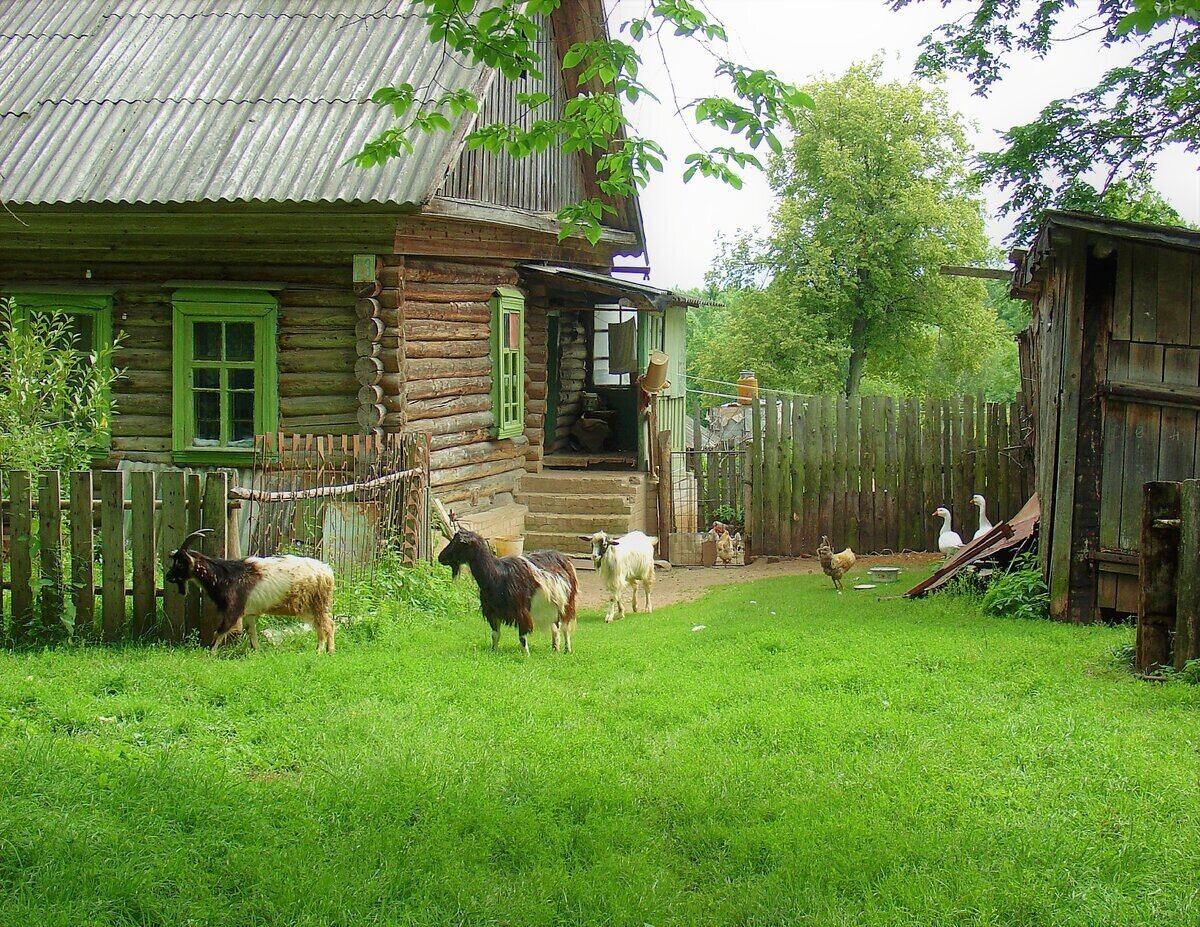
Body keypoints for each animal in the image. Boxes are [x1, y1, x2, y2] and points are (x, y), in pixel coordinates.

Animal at [162, 533, 336, 653]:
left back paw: (324, 651)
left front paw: (210, 654)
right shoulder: (249, 613)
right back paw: (324, 650)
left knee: (327, 625)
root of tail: (327, 571)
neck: (225, 576)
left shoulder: (233, 610)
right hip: (309, 607)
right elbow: (252, 634)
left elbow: (219, 632)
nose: (168, 576)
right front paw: (256, 652)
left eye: (180, 563)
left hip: (317, 604)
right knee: (322, 626)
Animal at [439, 528, 578, 653]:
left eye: (459, 544)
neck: (497, 575)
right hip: (552, 604)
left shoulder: (521, 611)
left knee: (565, 627)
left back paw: (567, 649)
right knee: (555, 627)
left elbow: (522, 636)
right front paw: (493, 651)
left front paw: (526, 655)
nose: (440, 557)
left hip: (568, 603)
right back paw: (555, 648)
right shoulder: (493, 612)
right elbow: (495, 634)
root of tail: (563, 557)